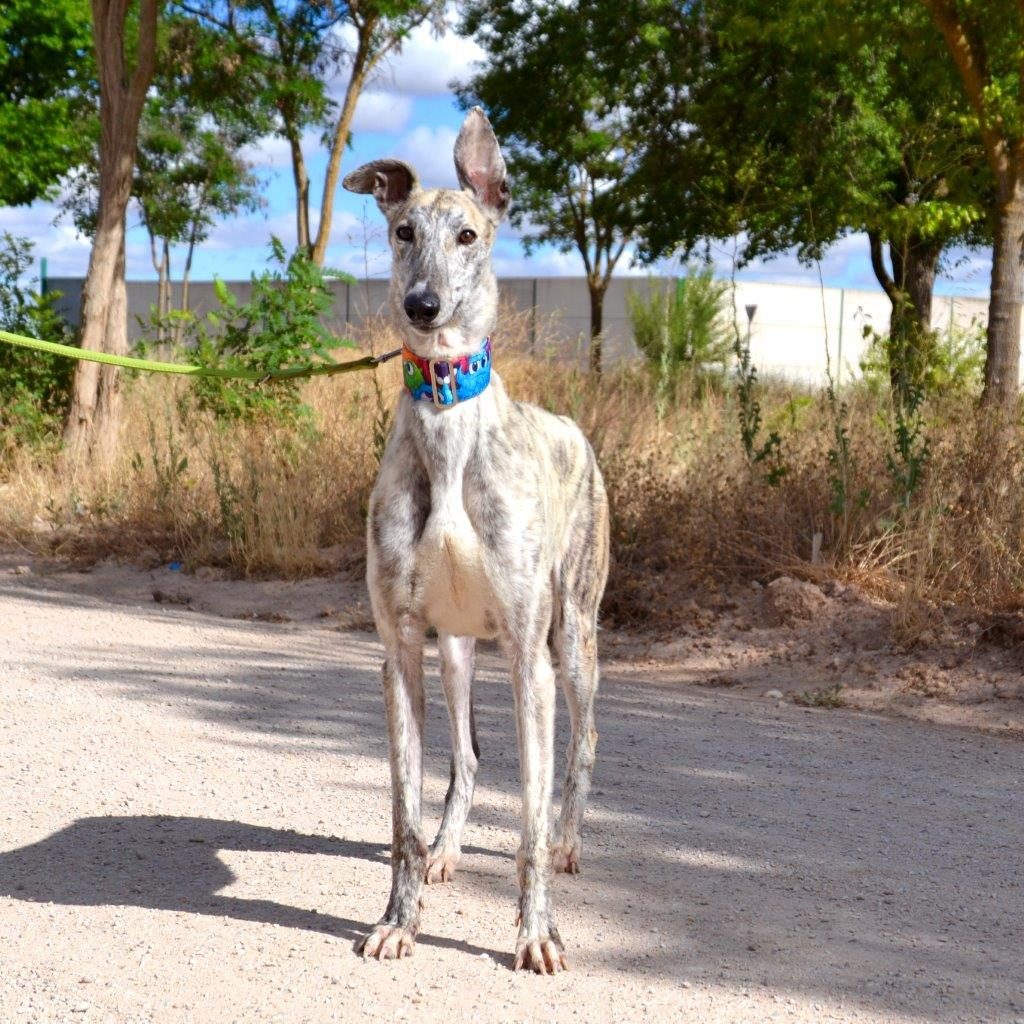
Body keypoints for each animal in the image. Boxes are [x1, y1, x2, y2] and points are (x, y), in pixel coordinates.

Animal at [344, 103, 606, 974]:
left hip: (576, 637)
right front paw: (399, 920)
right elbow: (403, 818)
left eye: (467, 234)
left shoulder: (529, 654)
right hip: (457, 649)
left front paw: (536, 934)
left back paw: (568, 841)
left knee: (582, 744)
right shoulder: (400, 647)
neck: (448, 410)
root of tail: (572, 426)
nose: (424, 307)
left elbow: (526, 820)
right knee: (465, 754)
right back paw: (451, 847)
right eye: (401, 231)